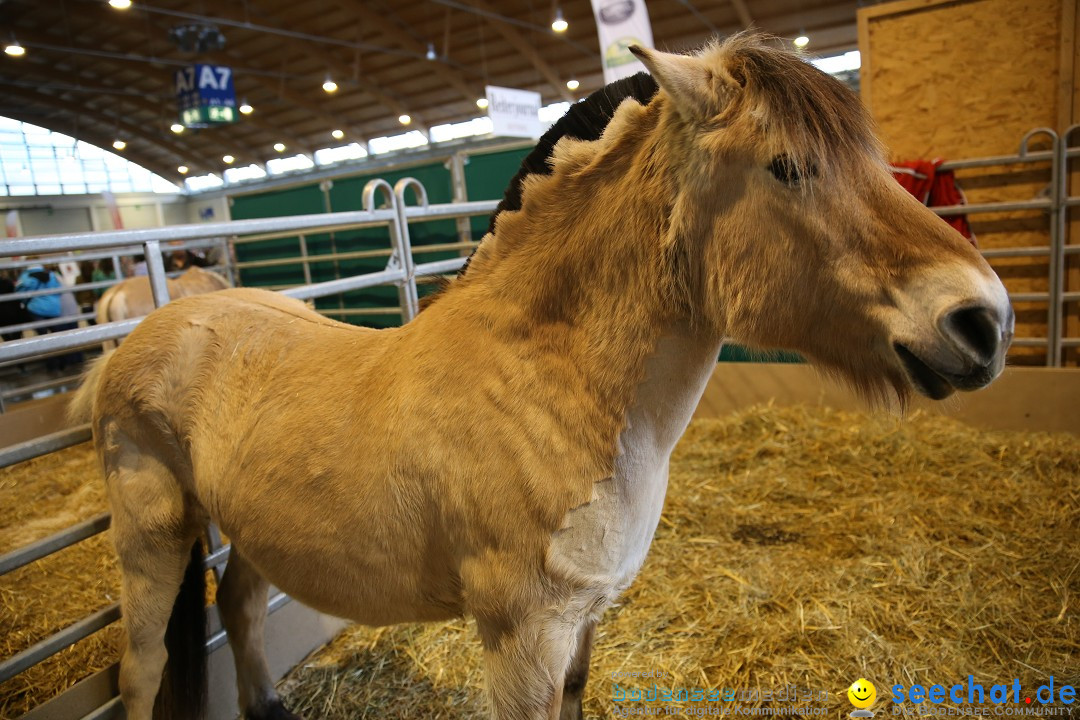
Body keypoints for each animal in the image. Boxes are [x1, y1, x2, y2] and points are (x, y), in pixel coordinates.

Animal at [67, 36, 1010, 720]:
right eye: (788, 166)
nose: (985, 320)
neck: (546, 382)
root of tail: (145, 329)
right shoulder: (521, 641)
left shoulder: (582, 626)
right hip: (152, 536)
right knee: (144, 665)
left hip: (249, 531)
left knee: (240, 609)